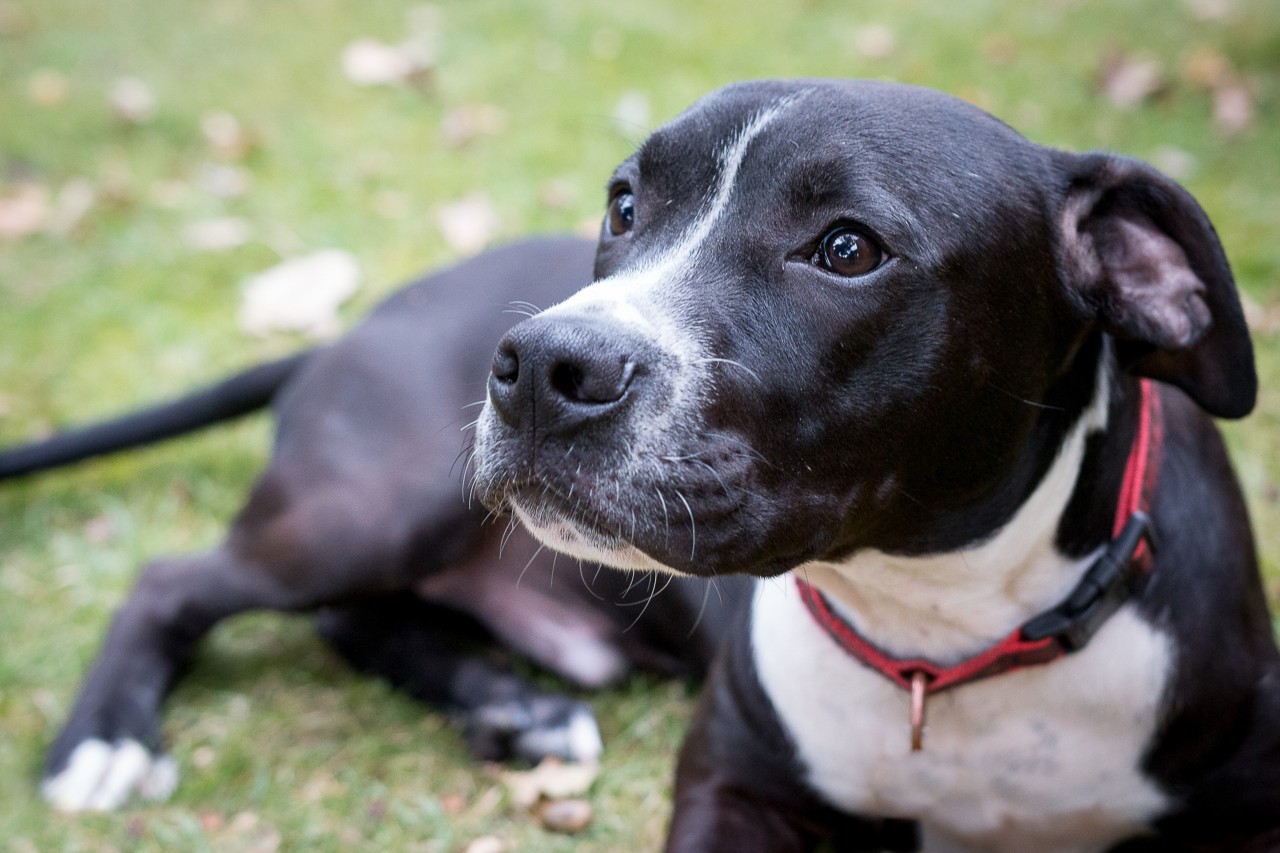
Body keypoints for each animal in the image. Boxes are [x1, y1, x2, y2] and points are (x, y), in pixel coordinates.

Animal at [2, 235, 747, 809]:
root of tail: (345, 336)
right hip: (381, 511)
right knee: (168, 584)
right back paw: (103, 740)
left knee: (353, 621)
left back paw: (517, 710)